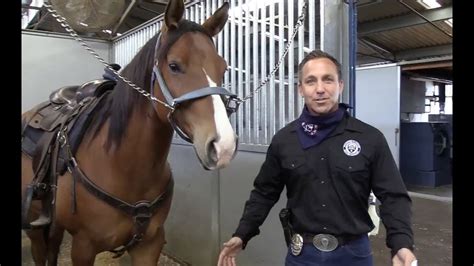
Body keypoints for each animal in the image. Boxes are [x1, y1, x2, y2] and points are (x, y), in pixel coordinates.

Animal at [21, 0, 237, 264]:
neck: (122, 164)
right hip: (35, 224)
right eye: (174, 66)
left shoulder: (150, 244)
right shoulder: (83, 246)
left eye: (223, 68)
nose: (223, 145)